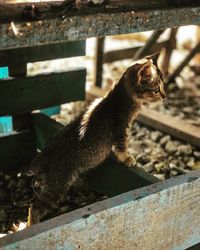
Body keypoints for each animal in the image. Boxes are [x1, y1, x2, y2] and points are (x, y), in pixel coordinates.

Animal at [28, 53, 166, 224]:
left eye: (163, 87)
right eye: (156, 89)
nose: (164, 96)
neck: (119, 94)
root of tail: (45, 157)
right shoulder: (120, 128)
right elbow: (122, 146)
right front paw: (127, 158)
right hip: (59, 185)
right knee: (34, 207)